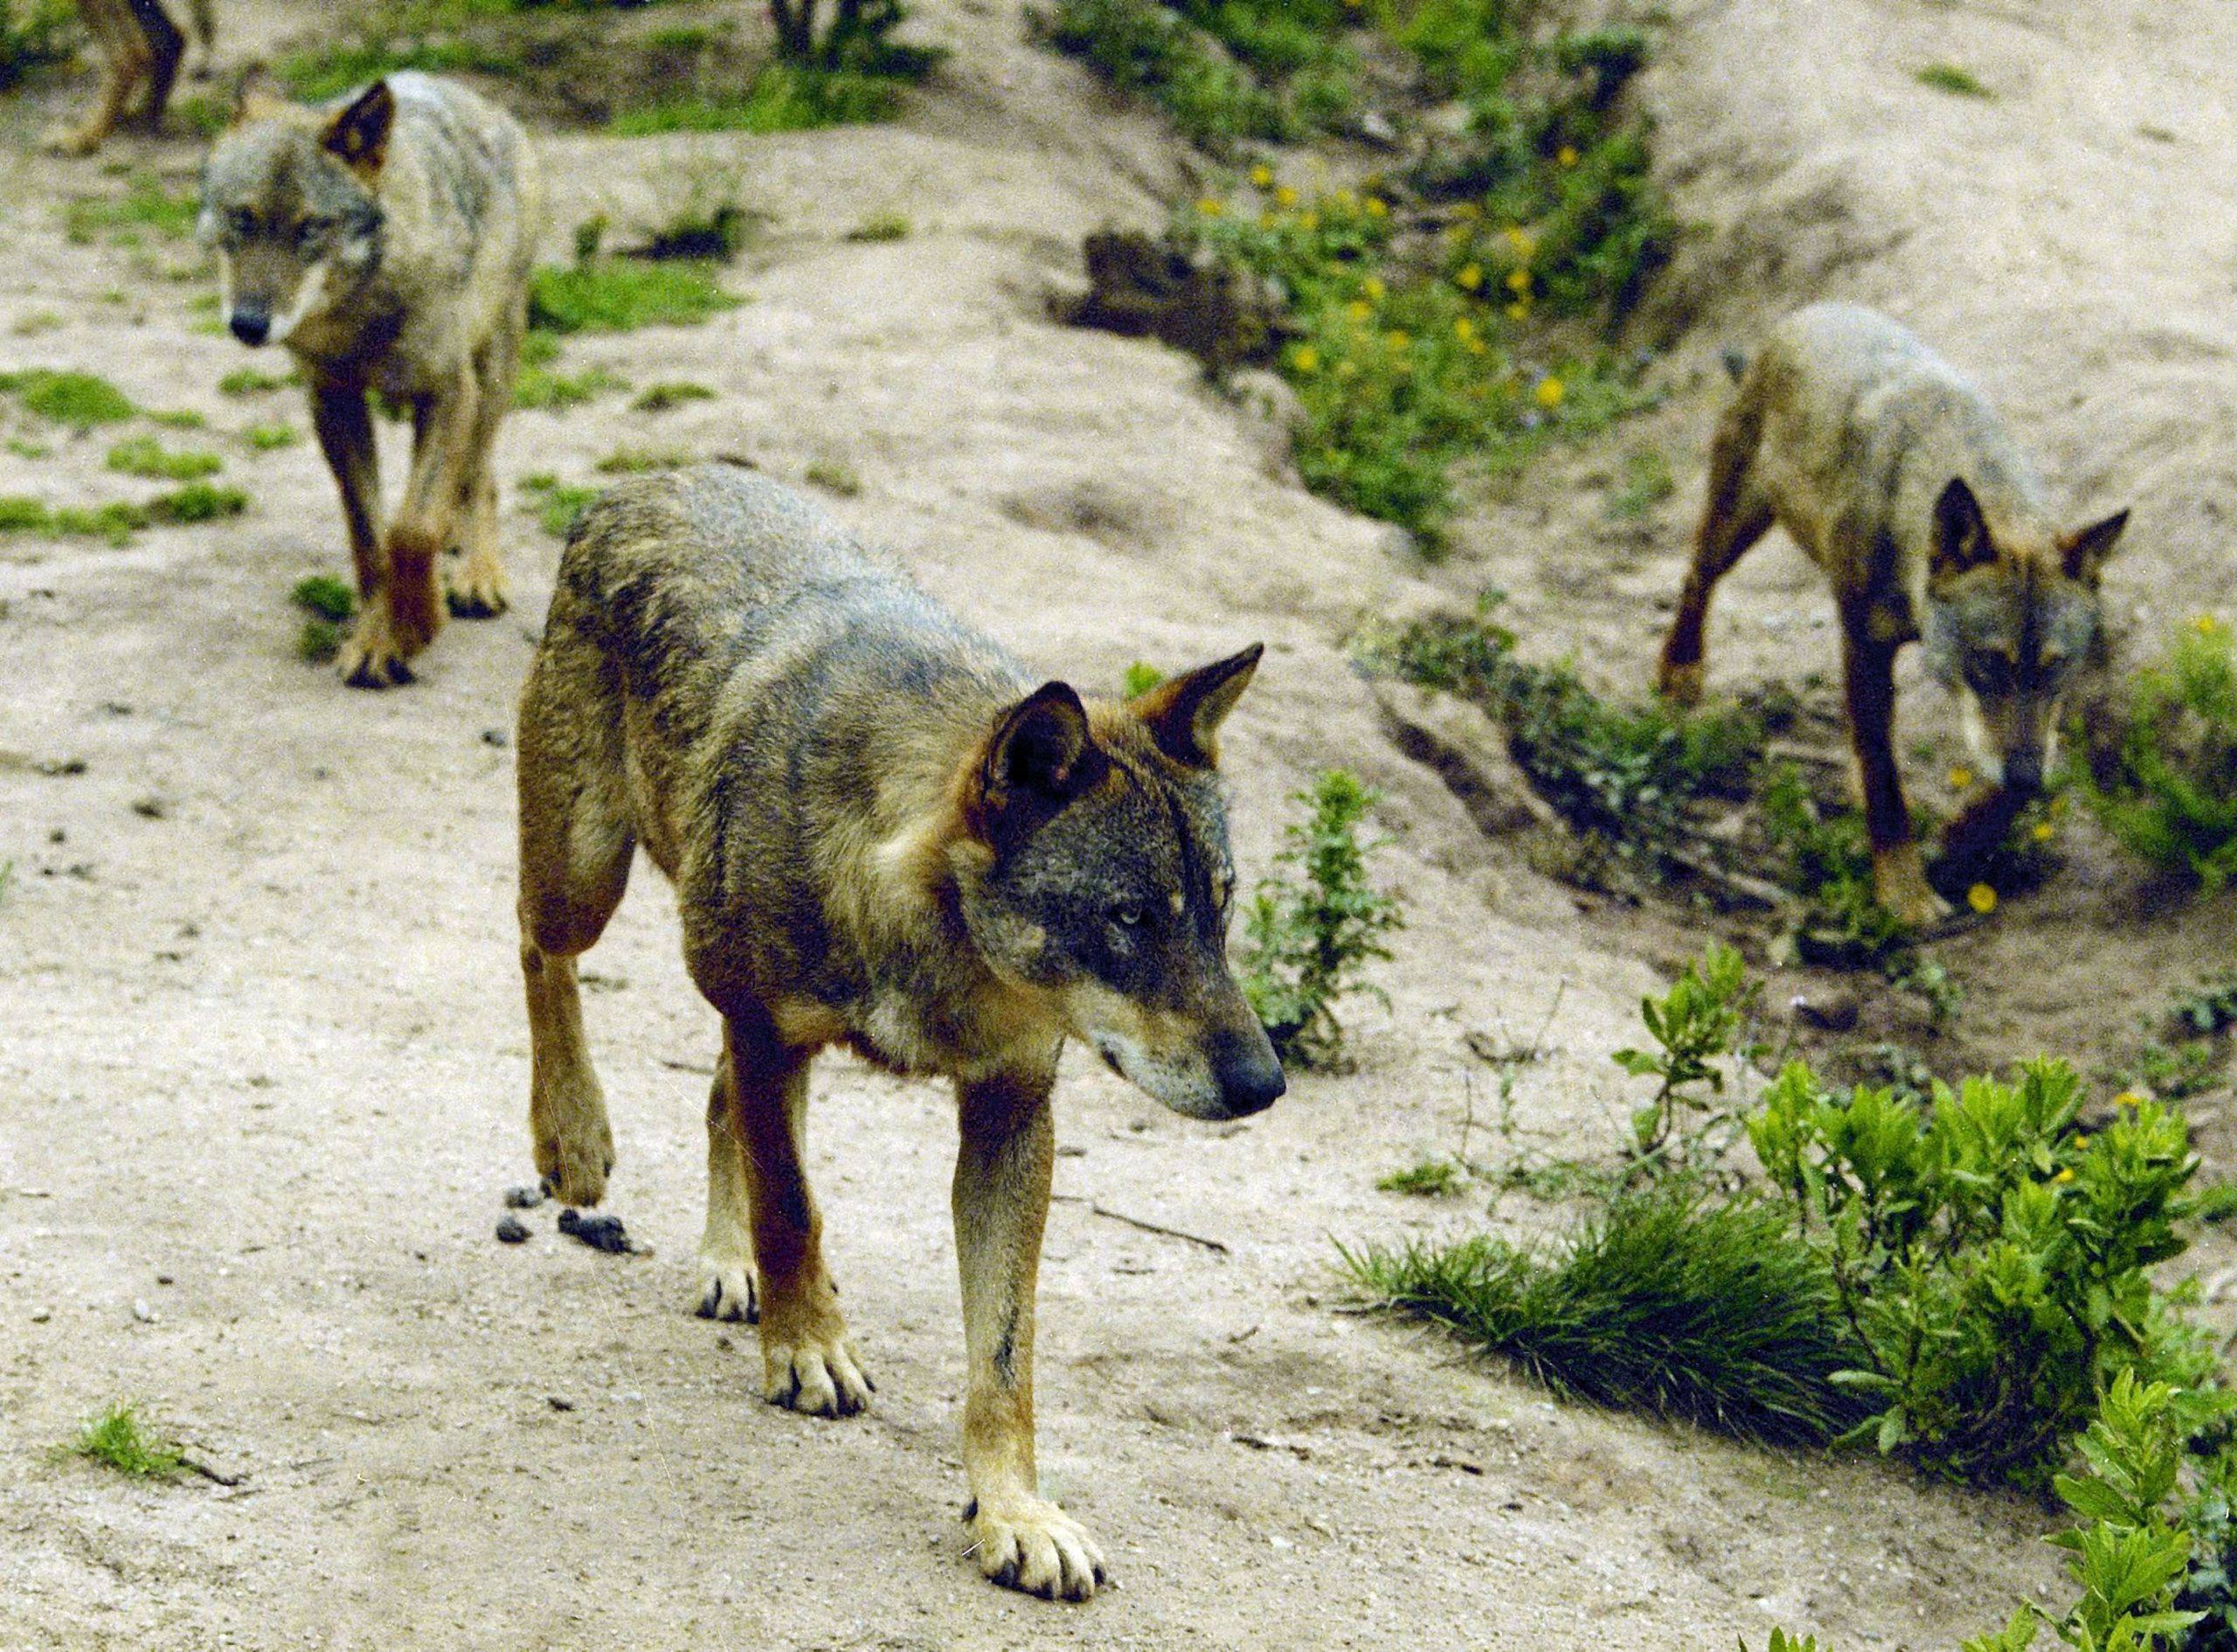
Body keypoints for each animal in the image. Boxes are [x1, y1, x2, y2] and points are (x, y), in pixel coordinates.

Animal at [198, 70, 542, 687]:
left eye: (311, 228)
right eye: (243, 219)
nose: (248, 325)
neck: (360, 312)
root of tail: (472, 96)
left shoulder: (449, 392)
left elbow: (411, 531)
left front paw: (416, 623)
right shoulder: (333, 403)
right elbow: (372, 537)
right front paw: (377, 640)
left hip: (491, 371)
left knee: (480, 475)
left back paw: (478, 574)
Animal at [515, 464, 1286, 1601]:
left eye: (1219, 909)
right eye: (1129, 917)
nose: (1264, 1084)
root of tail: (655, 477)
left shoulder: (1011, 1109)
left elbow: (1003, 1358)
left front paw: (1015, 1512)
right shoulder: (770, 1032)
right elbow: (795, 1207)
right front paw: (808, 1352)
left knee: (716, 1101)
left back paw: (727, 1264)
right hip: (586, 875)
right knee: (539, 949)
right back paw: (572, 1137)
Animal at [1657, 303, 2127, 924]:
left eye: (2056, 666)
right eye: (1989, 663)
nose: (2027, 770)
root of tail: (1805, 314)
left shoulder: (2036, 726)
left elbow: (2007, 786)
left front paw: (1958, 846)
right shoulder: (1864, 644)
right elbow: (1885, 779)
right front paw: (1905, 895)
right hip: (1735, 526)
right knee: (1694, 580)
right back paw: (1679, 673)